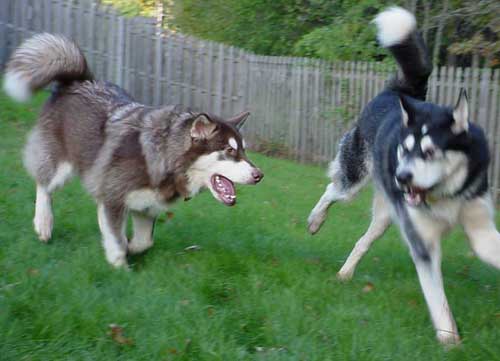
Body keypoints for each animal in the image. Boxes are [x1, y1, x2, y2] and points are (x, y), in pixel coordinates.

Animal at [3, 33, 264, 268]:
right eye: (229, 150)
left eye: (243, 150)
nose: (259, 175)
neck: (165, 158)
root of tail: (80, 80)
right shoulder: (112, 199)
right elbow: (117, 244)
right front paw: (120, 267)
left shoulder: (146, 208)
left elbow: (144, 241)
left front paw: (132, 248)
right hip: (60, 165)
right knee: (43, 184)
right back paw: (44, 222)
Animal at [306, 5, 498, 344]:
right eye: (403, 150)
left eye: (430, 152)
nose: (401, 178)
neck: (445, 195)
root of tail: (397, 92)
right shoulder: (423, 243)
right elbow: (438, 300)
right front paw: (450, 342)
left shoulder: (482, 231)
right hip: (353, 179)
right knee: (332, 189)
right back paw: (316, 220)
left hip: (385, 217)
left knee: (362, 241)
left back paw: (345, 273)